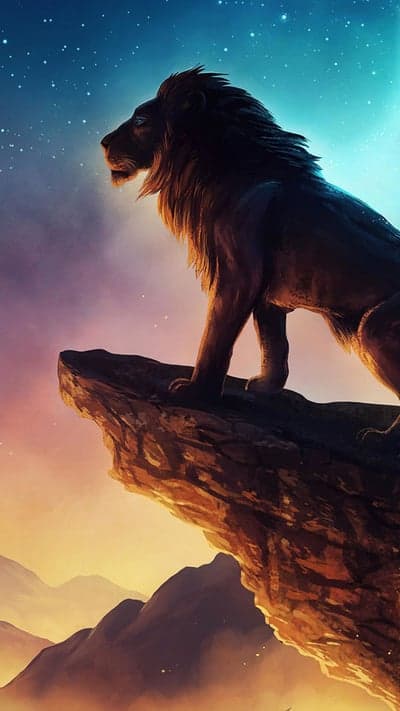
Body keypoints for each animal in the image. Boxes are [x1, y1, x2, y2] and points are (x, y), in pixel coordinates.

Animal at [101, 66, 400, 442]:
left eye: (140, 120)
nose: (103, 143)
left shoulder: (237, 277)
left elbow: (216, 337)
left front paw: (196, 392)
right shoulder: (269, 297)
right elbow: (274, 344)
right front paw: (264, 387)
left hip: (374, 328)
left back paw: (383, 437)